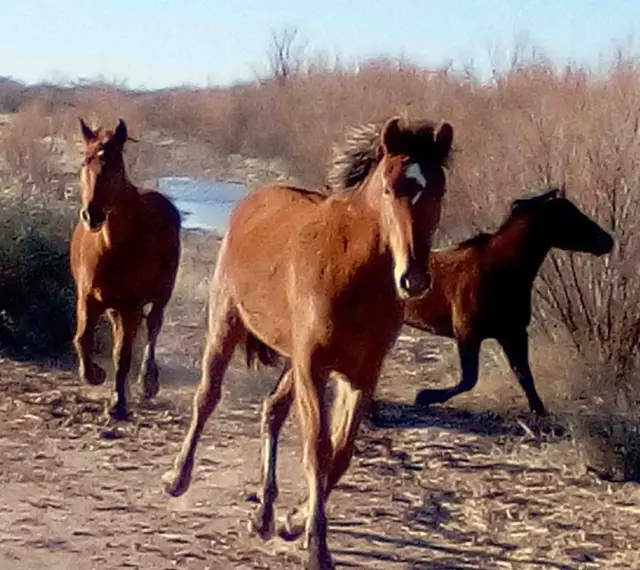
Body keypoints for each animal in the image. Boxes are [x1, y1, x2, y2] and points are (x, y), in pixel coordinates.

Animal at [70, 119, 181, 421]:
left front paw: (118, 404)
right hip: (112, 306)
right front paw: (95, 375)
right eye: (85, 162)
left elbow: (124, 353)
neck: (112, 247)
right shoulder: (88, 297)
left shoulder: (132, 304)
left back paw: (147, 382)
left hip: (159, 296)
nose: (92, 215)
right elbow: (82, 339)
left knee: (153, 327)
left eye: (116, 165)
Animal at [161, 116, 454, 570]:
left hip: (291, 360)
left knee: (272, 410)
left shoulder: (359, 374)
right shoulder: (314, 367)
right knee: (207, 396)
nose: (414, 279)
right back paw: (178, 478)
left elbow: (340, 452)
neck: (353, 270)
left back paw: (263, 516)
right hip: (228, 324)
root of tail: (256, 200)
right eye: (390, 189)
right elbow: (317, 450)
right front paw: (317, 548)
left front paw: (292, 522)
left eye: (438, 189)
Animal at [243, 187, 613, 544]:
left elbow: (526, 380)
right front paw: (424, 396)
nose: (606, 241)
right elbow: (468, 379)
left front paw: (543, 420)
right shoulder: (469, 335)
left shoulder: (512, 335)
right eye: (571, 216)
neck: (499, 271)